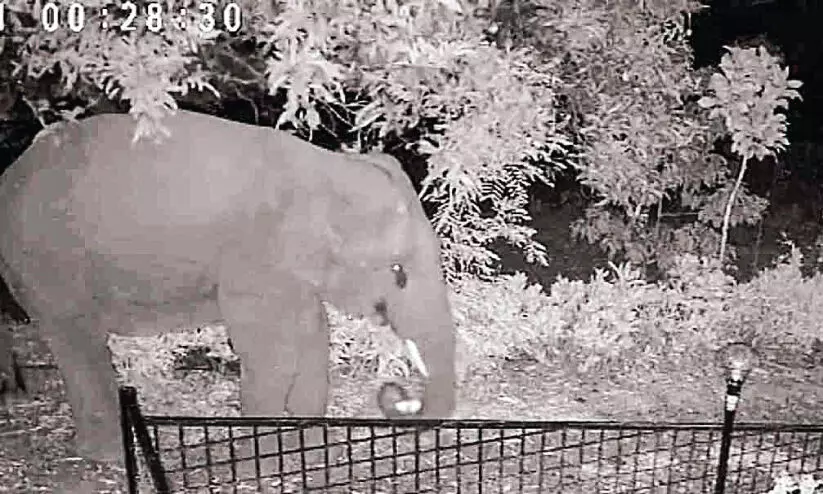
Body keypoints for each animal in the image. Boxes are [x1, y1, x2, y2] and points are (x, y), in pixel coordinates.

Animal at [0, 110, 457, 464]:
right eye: (398, 271)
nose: (396, 394)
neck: (326, 167)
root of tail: (12, 172)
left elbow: (312, 333)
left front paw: (307, 447)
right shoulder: (256, 256)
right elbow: (274, 351)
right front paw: (267, 458)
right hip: (47, 261)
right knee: (79, 341)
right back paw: (108, 456)